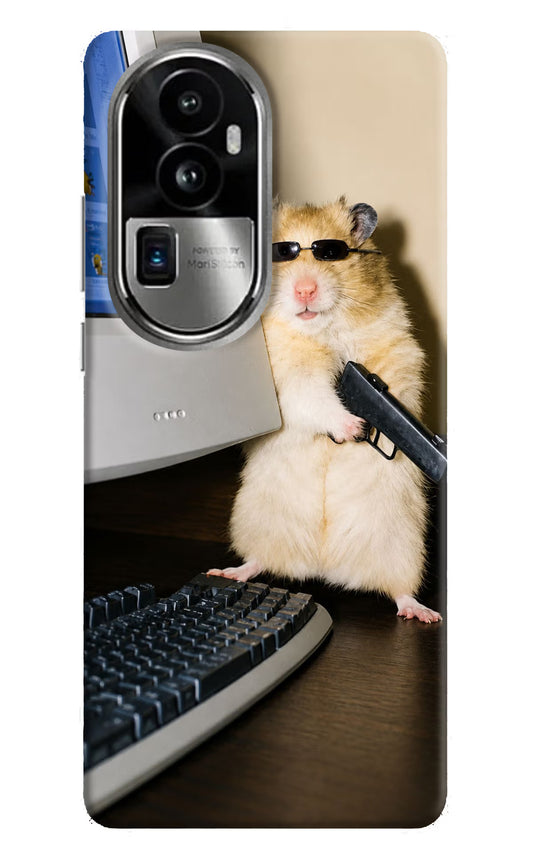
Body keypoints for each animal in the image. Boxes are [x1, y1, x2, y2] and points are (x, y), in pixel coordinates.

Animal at [208, 197, 441, 623]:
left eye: (331, 253)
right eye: (280, 254)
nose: (305, 289)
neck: (321, 330)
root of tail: (325, 567)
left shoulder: (397, 349)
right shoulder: (288, 379)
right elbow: (314, 398)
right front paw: (353, 428)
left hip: (403, 545)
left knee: (399, 590)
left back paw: (423, 613)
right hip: (257, 521)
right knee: (259, 560)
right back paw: (228, 572)